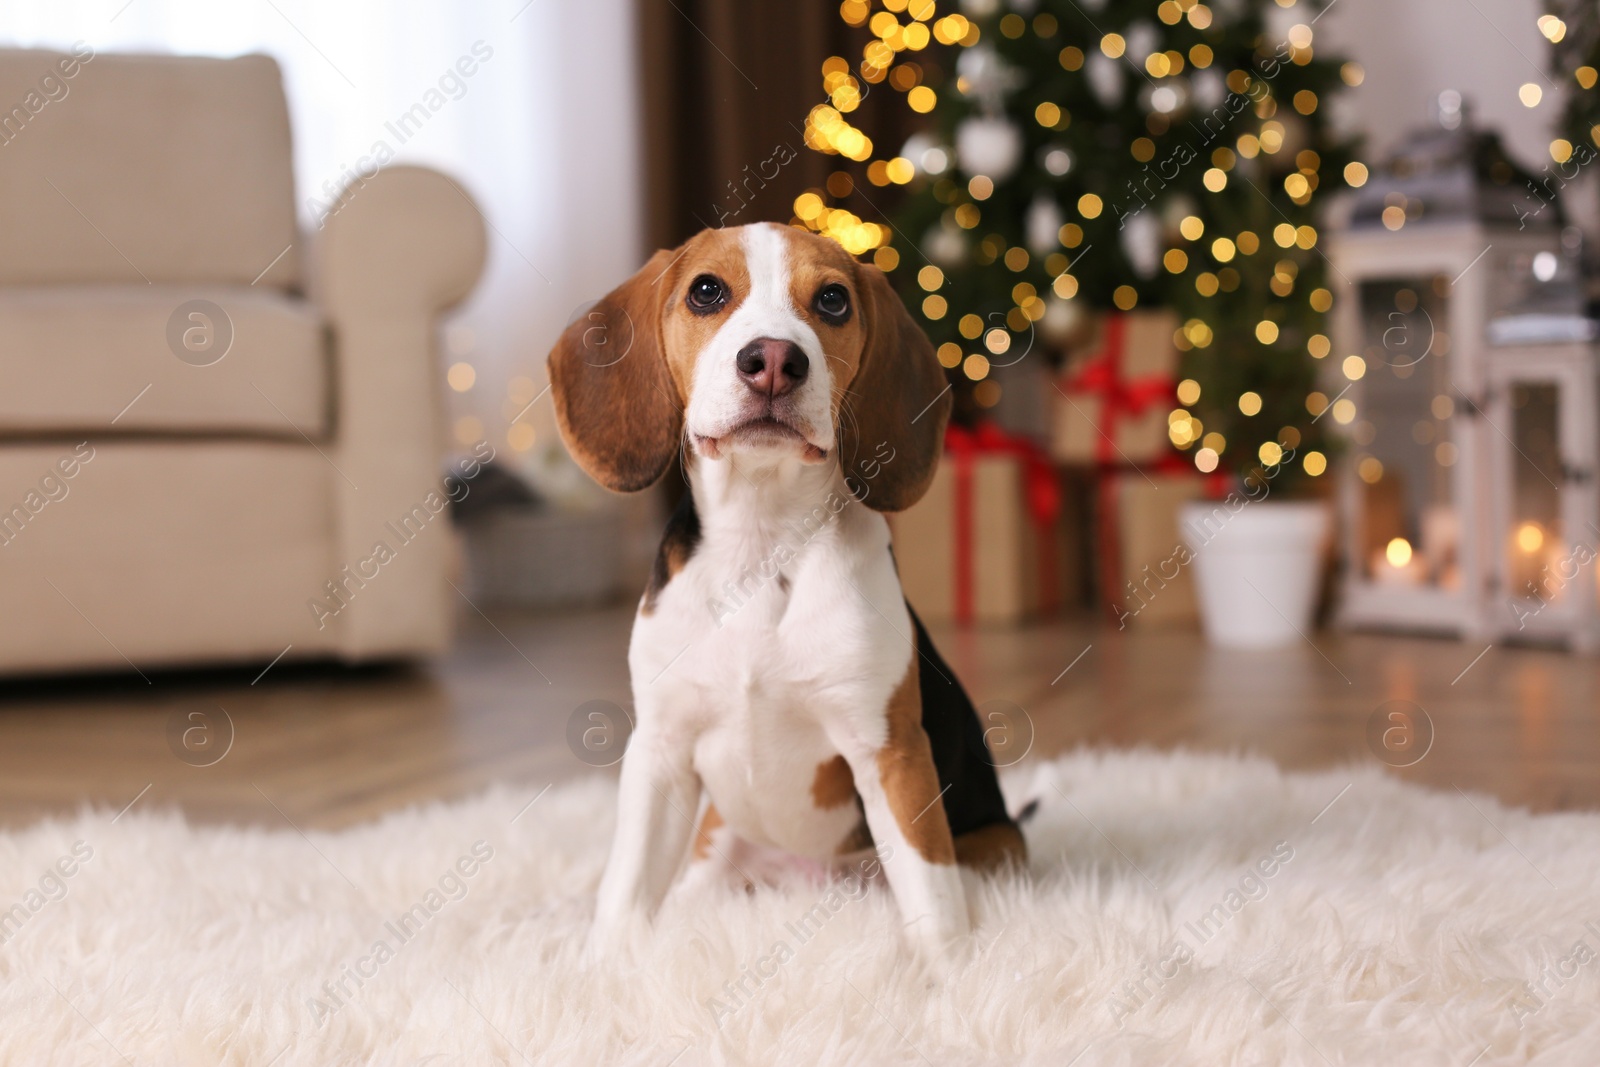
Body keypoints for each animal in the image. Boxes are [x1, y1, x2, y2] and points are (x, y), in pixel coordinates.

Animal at [550, 220, 1024, 953]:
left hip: (997, 847)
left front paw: (949, 971)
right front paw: (605, 962)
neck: (760, 540)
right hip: (717, 836)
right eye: (706, 291)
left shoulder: (891, 753)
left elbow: (931, 898)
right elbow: (625, 888)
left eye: (832, 300)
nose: (773, 359)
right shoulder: (660, 750)